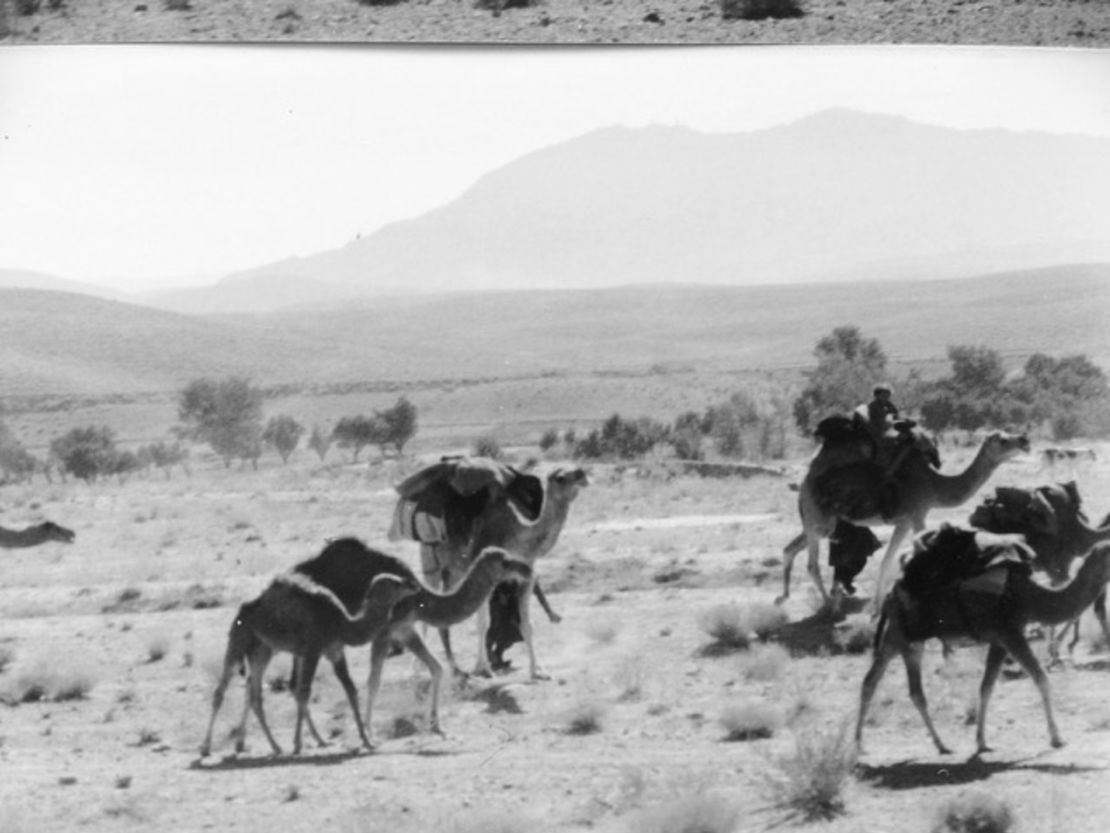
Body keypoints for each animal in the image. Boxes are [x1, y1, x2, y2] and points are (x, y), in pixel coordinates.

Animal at [199, 573, 419, 755]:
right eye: (395, 583)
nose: (413, 584)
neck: (341, 623)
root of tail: (244, 608)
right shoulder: (313, 650)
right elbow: (304, 692)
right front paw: (297, 744)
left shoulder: (334, 651)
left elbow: (350, 690)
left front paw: (367, 741)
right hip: (239, 638)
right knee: (221, 691)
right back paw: (205, 748)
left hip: (263, 649)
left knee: (254, 694)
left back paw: (273, 746)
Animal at [390, 459, 590, 679]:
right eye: (560, 477)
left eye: (576, 469)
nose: (582, 474)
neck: (516, 535)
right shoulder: (487, 574)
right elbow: (483, 623)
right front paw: (483, 669)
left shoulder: (527, 575)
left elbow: (526, 624)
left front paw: (538, 671)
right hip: (430, 560)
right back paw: (417, 670)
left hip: (453, 572)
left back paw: (456, 669)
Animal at [781, 433, 1021, 608]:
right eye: (1002, 439)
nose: (1024, 440)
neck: (934, 486)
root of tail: (803, 486)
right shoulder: (918, 516)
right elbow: (919, 554)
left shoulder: (904, 523)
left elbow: (887, 561)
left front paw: (877, 606)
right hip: (820, 520)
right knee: (811, 564)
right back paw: (829, 605)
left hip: (819, 522)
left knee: (790, 548)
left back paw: (784, 597)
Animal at [856, 530, 1110, 759]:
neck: (1030, 595)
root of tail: (890, 595)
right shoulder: (1010, 633)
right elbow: (1041, 679)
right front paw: (1057, 738)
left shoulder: (999, 640)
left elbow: (986, 687)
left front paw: (982, 742)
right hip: (907, 638)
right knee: (914, 692)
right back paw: (940, 745)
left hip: (896, 637)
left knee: (871, 681)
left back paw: (866, 745)